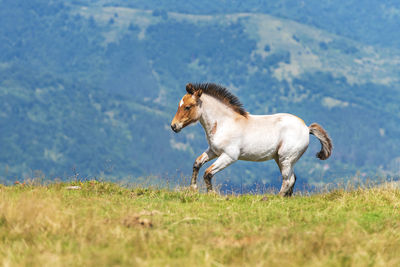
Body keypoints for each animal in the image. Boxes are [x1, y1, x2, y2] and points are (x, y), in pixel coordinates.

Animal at [170, 83, 332, 197]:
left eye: (187, 107)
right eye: (179, 105)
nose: (174, 126)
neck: (224, 123)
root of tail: (306, 128)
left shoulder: (229, 156)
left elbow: (208, 173)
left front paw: (212, 194)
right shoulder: (214, 151)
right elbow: (197, 163)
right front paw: (193, 188)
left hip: (285, 158)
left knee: (288, 180)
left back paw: (277, 198)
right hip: (281, 159)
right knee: (292, 178)